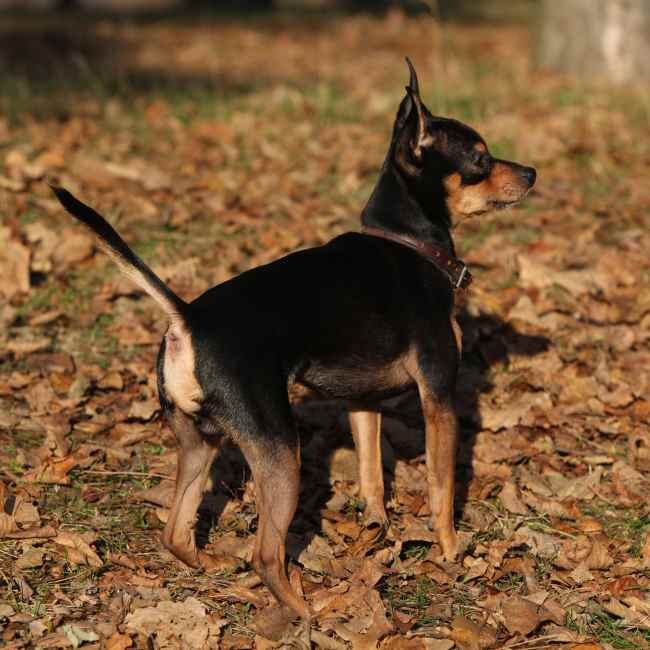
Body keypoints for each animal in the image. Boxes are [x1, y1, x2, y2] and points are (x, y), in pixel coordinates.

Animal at [50, 57, 536, 636]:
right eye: (481, 158)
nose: (532, 173)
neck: (409, 243)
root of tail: (187, 317)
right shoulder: (438, 396)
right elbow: (442, 488)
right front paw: (452, 552)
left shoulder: (362, 402)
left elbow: (372, 477)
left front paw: (377, 531)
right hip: (281, 452)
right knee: (266, 554)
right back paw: (308, 612)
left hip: (200, 441)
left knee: (174, 530)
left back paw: (211, 565)